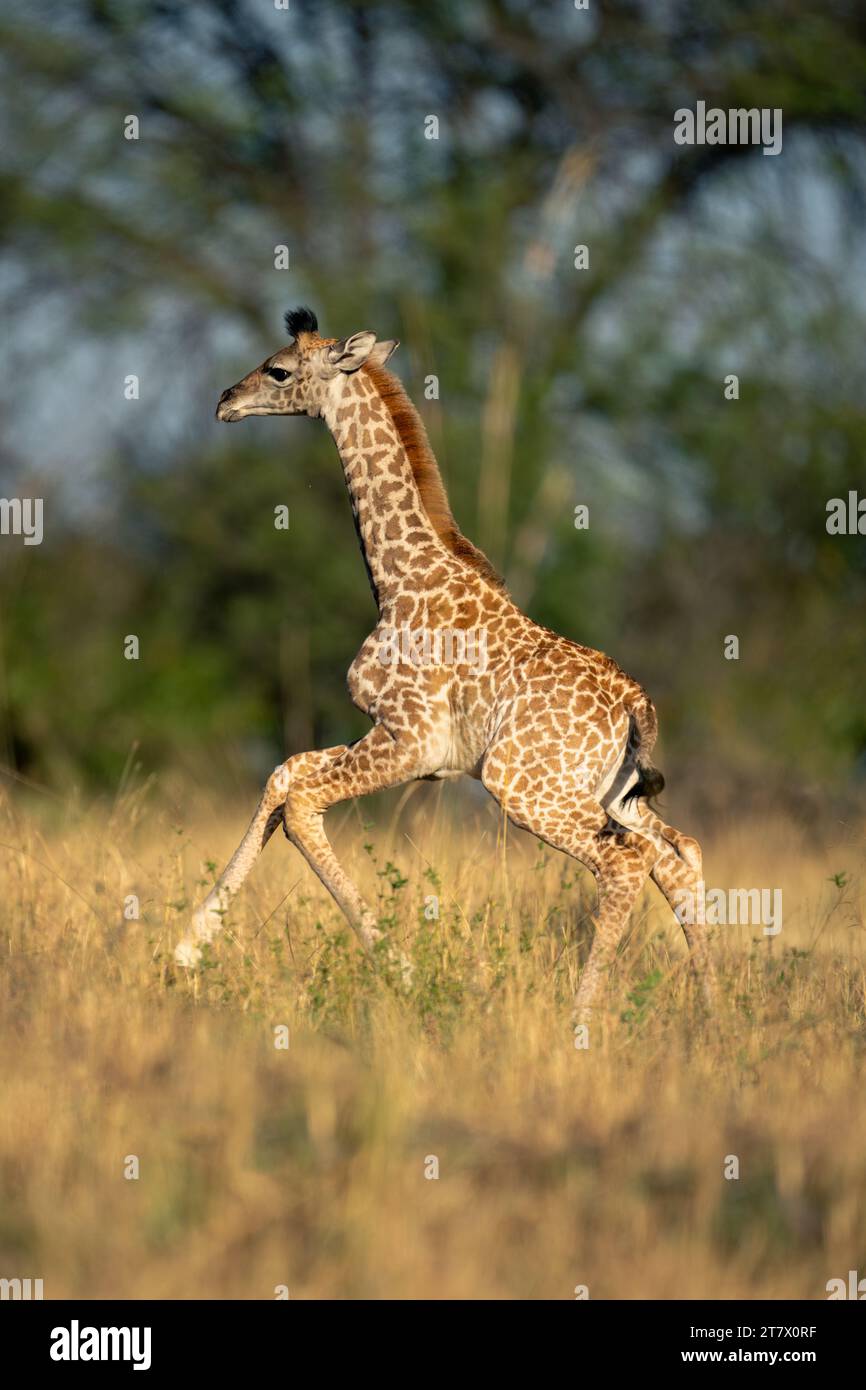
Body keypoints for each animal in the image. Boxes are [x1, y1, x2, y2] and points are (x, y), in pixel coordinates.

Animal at [175, 307, 716, 1021]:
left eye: (279, 369)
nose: (225, 402)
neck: (399, 579)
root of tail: (636, 705)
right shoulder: (388, 734)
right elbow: (284, 774)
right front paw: (185, 950)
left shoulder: (410, 743)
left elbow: (300, 803)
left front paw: (400, 971)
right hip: (610, 791)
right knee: (678, 852)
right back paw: (715, 1011)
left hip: (526, 787)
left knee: (627, 861)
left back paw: (579, 1020)